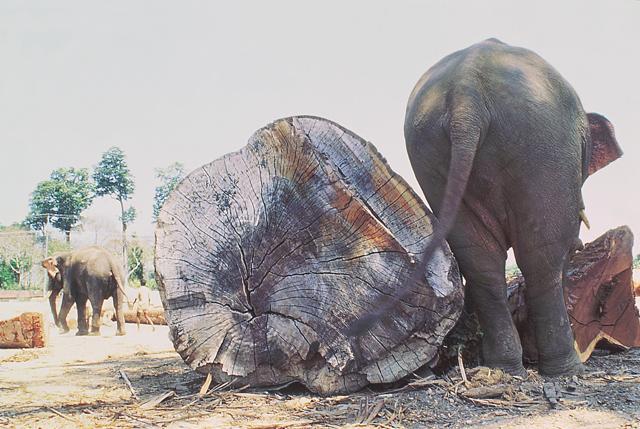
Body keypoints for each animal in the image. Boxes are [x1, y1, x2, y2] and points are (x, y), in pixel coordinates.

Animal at [403, 39, 622, 376]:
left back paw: (503, 367)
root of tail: (467, 95)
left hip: (432, 153)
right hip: (542, 147)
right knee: (542, 255)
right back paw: (565, 369)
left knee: (479, 258)